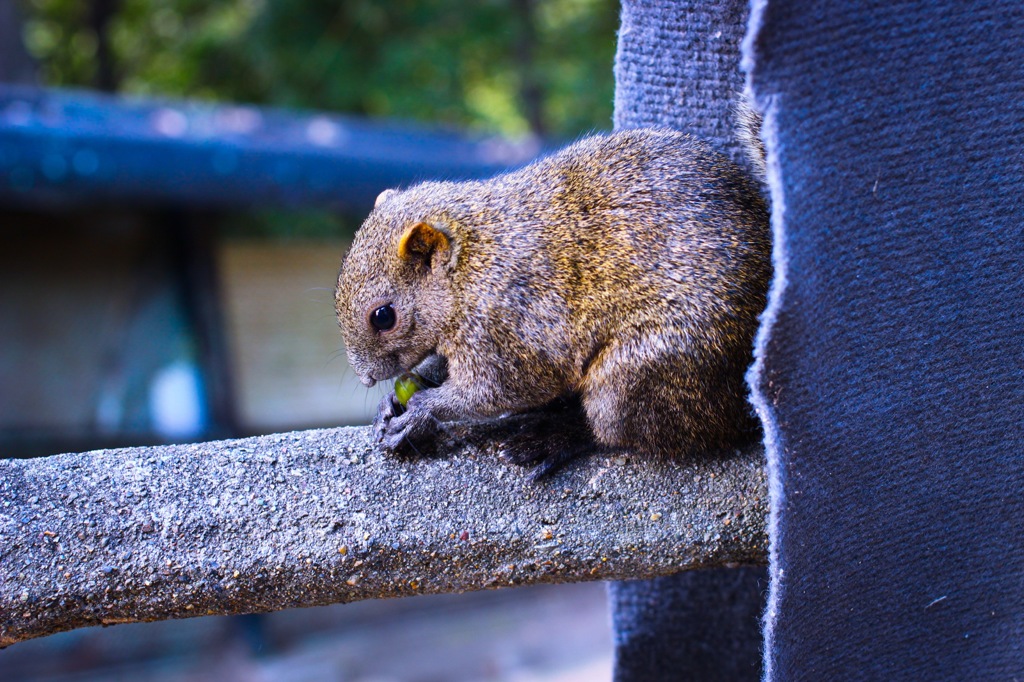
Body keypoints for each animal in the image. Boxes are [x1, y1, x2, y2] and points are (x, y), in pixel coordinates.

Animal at [335, 130, 770, 475]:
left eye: (383, 316)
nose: (365, 378)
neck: (471, 265)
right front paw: (396, 399)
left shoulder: (510, 324)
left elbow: (497, 390)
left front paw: (422, 412)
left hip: (641, 377)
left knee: (611, 431)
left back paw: (550, 438)